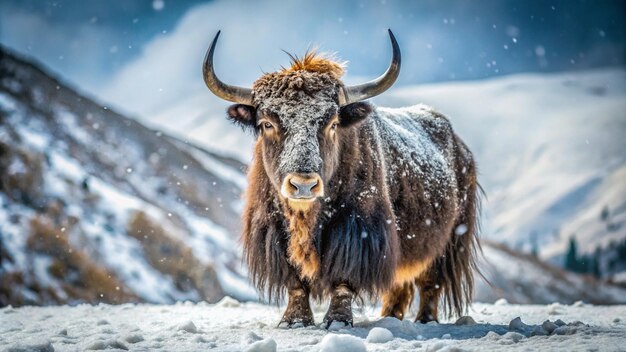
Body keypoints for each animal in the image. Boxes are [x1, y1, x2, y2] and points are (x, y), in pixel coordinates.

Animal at [202, 29, 480, 328]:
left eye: (333, 123)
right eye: (267, 123)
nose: (303, 185)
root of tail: (461, 148)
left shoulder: (358, 230)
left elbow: (343, 275)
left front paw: (337, 320)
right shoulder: (274, 232)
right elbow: (295, 280)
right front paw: (294, 320)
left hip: (449, 242)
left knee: (430, 283)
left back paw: (425, 321)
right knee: (400, 285)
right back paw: (389, 317)